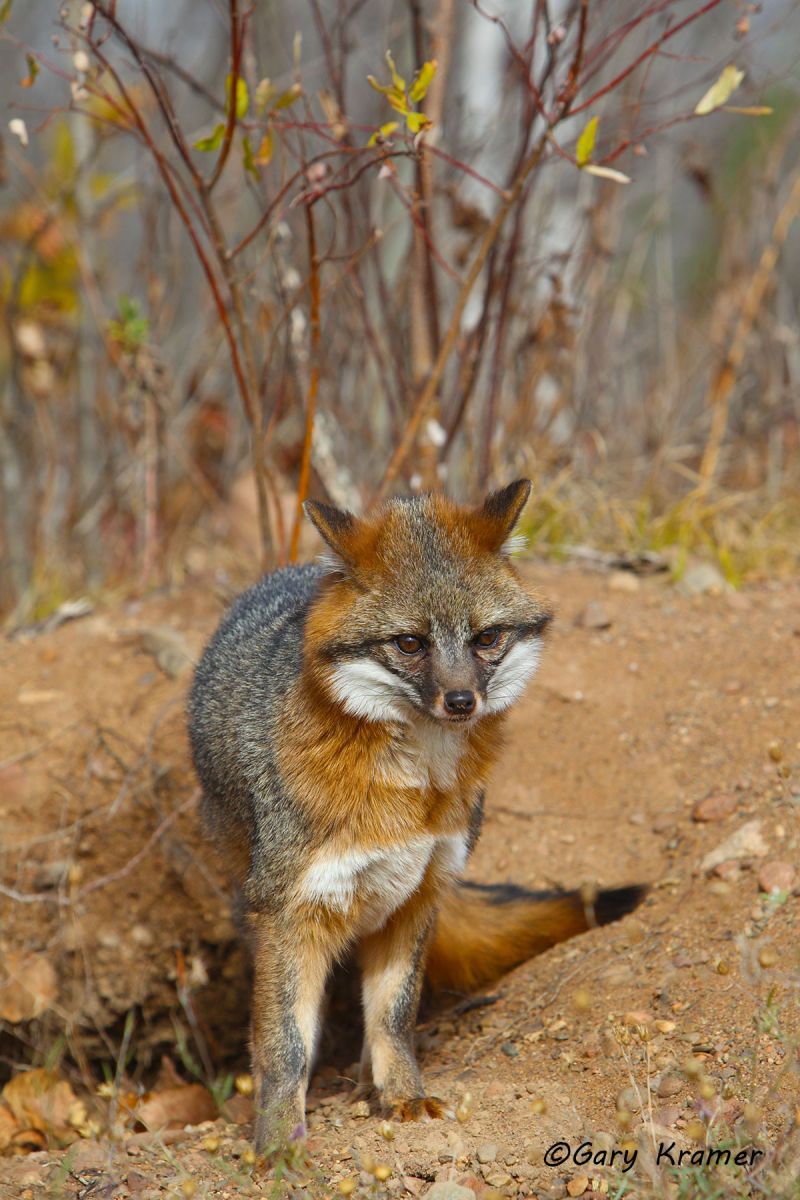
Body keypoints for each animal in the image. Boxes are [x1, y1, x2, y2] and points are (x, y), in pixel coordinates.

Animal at [188, 479, 644, 1150]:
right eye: (409, 643)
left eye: (485, 638)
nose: (460, 701)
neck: (415, 793)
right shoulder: (289, 910)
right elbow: (284, 1046)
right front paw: (277, 1147)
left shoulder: (419, 893)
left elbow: (393, 1017)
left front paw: (401, 1095)